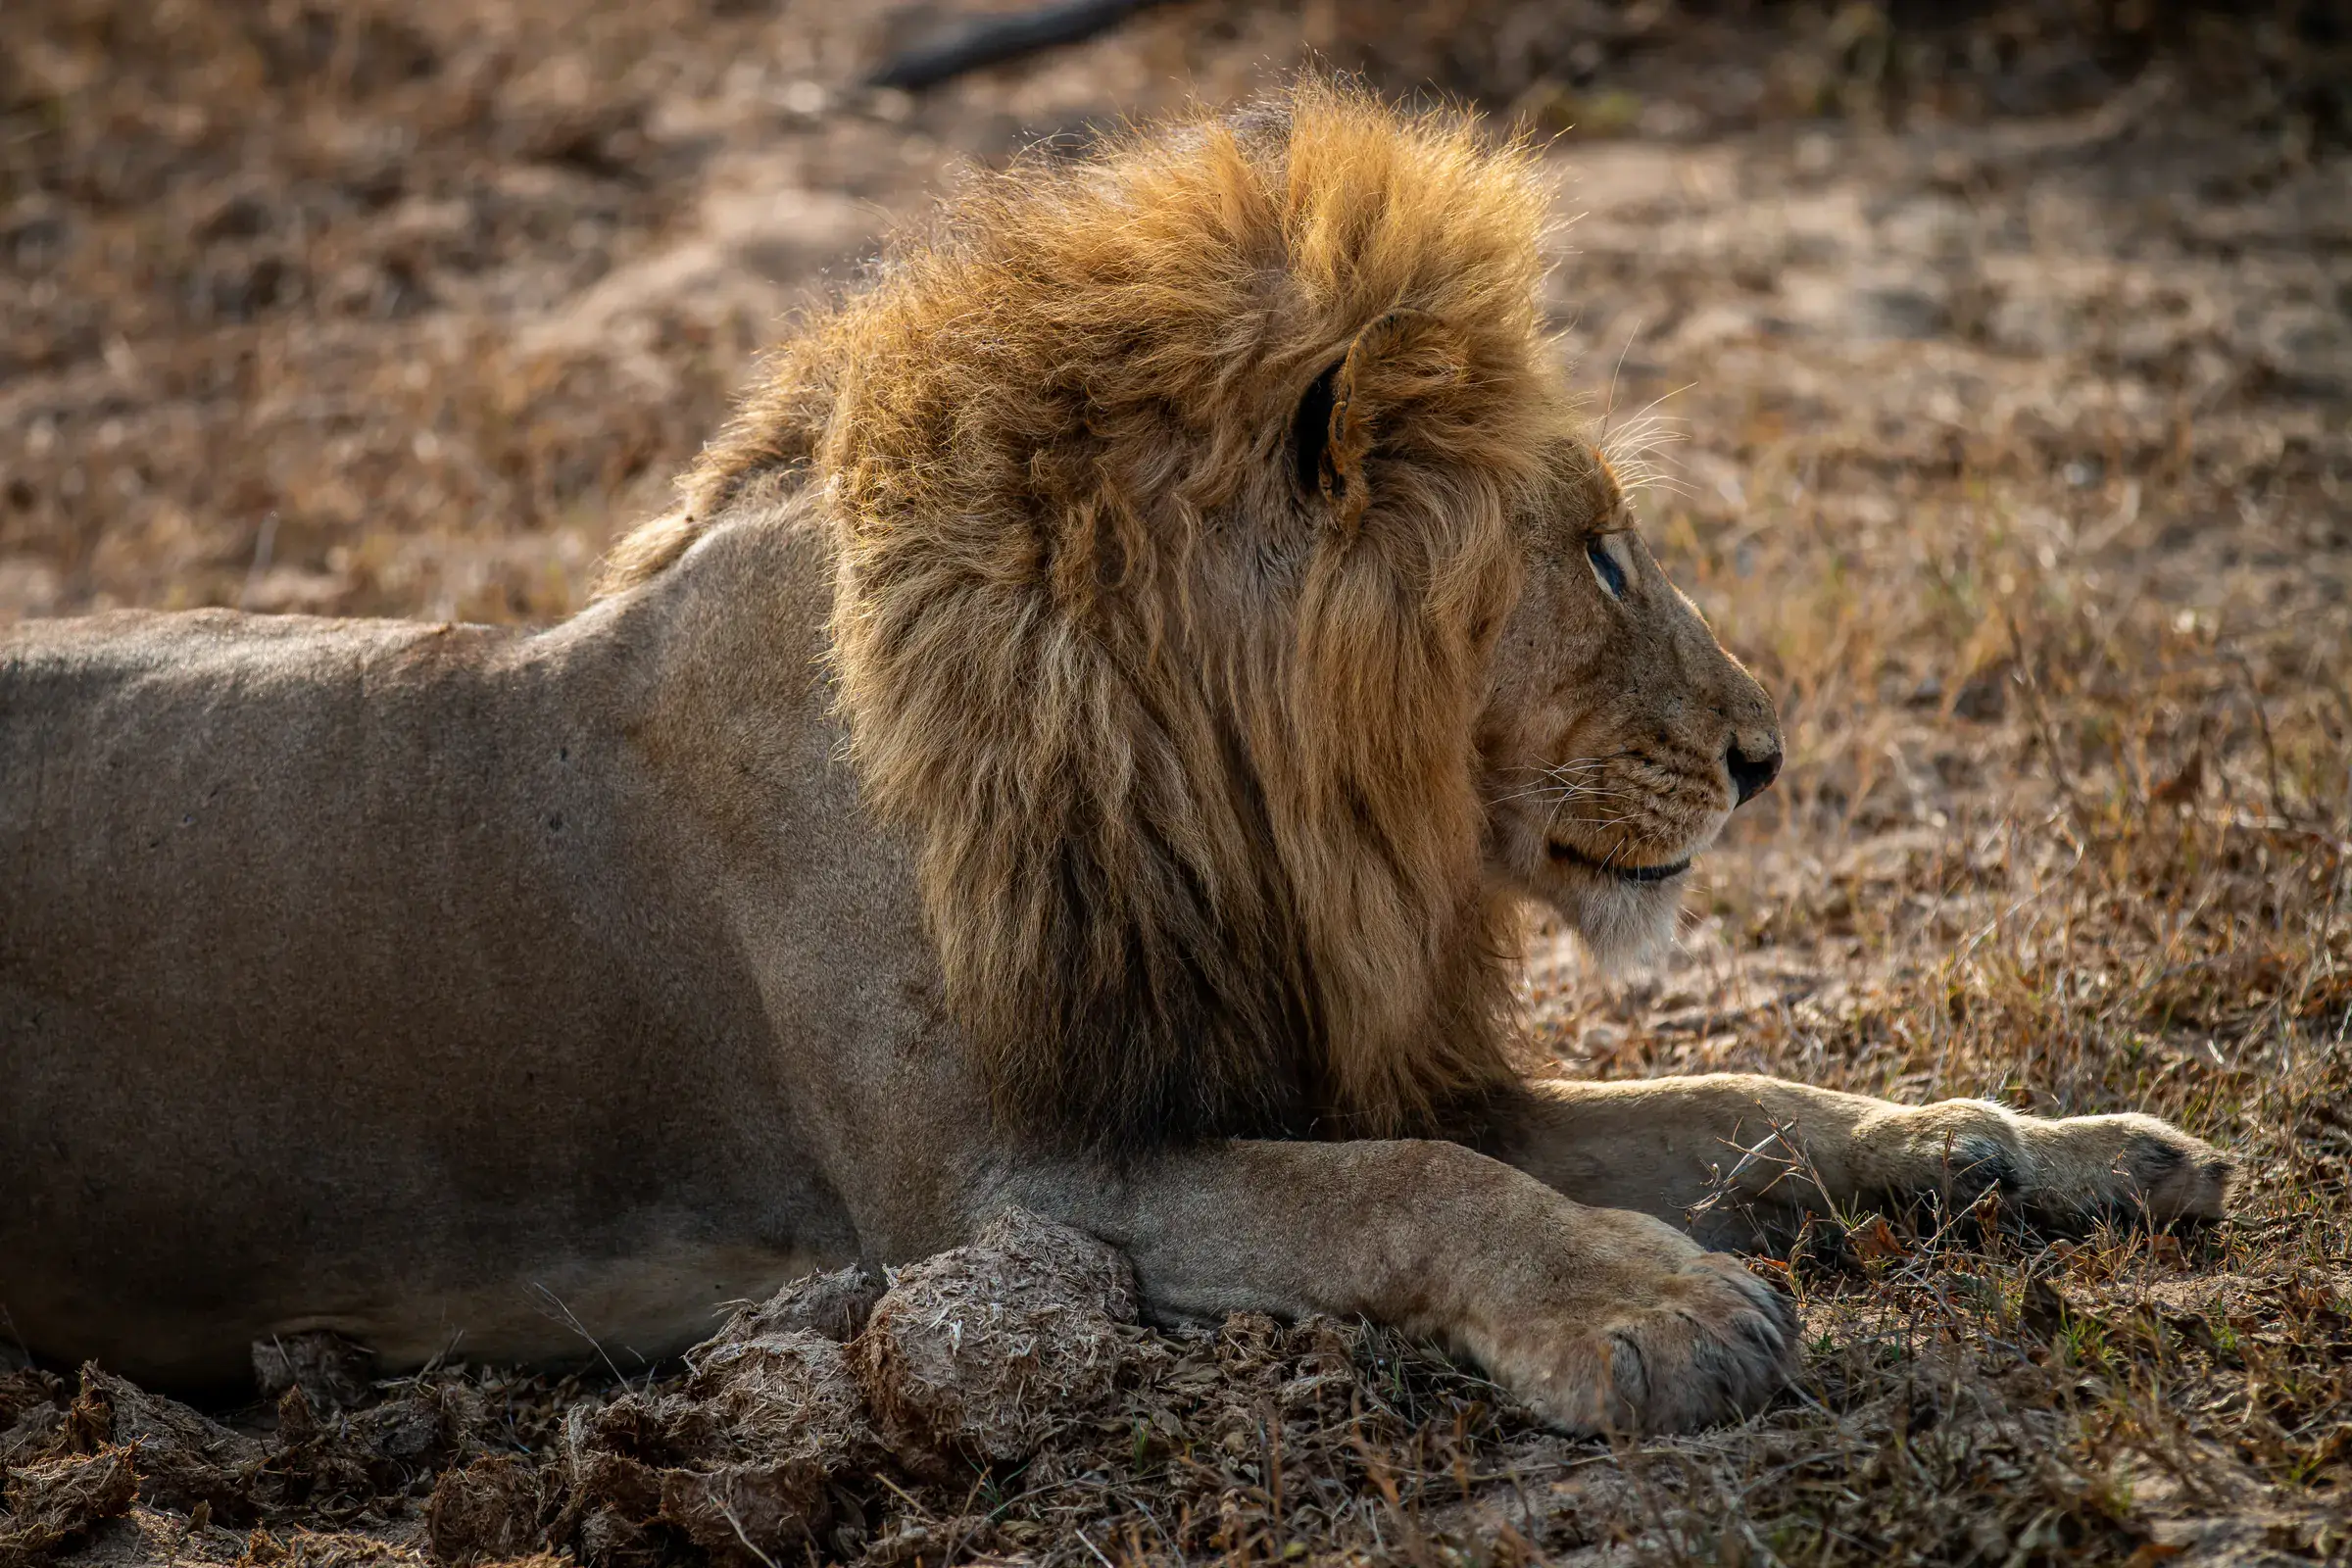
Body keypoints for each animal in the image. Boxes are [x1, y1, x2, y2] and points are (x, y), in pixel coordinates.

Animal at [0, 84, 2234, 1433]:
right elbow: (1416, 1189)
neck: (1229, 781)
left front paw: (2069, 1153)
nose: (1769, 758)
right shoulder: (988, 1197)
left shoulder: (1306, 1057)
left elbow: (1747, 1101)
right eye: (1599, 550)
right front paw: (1659, 1311)